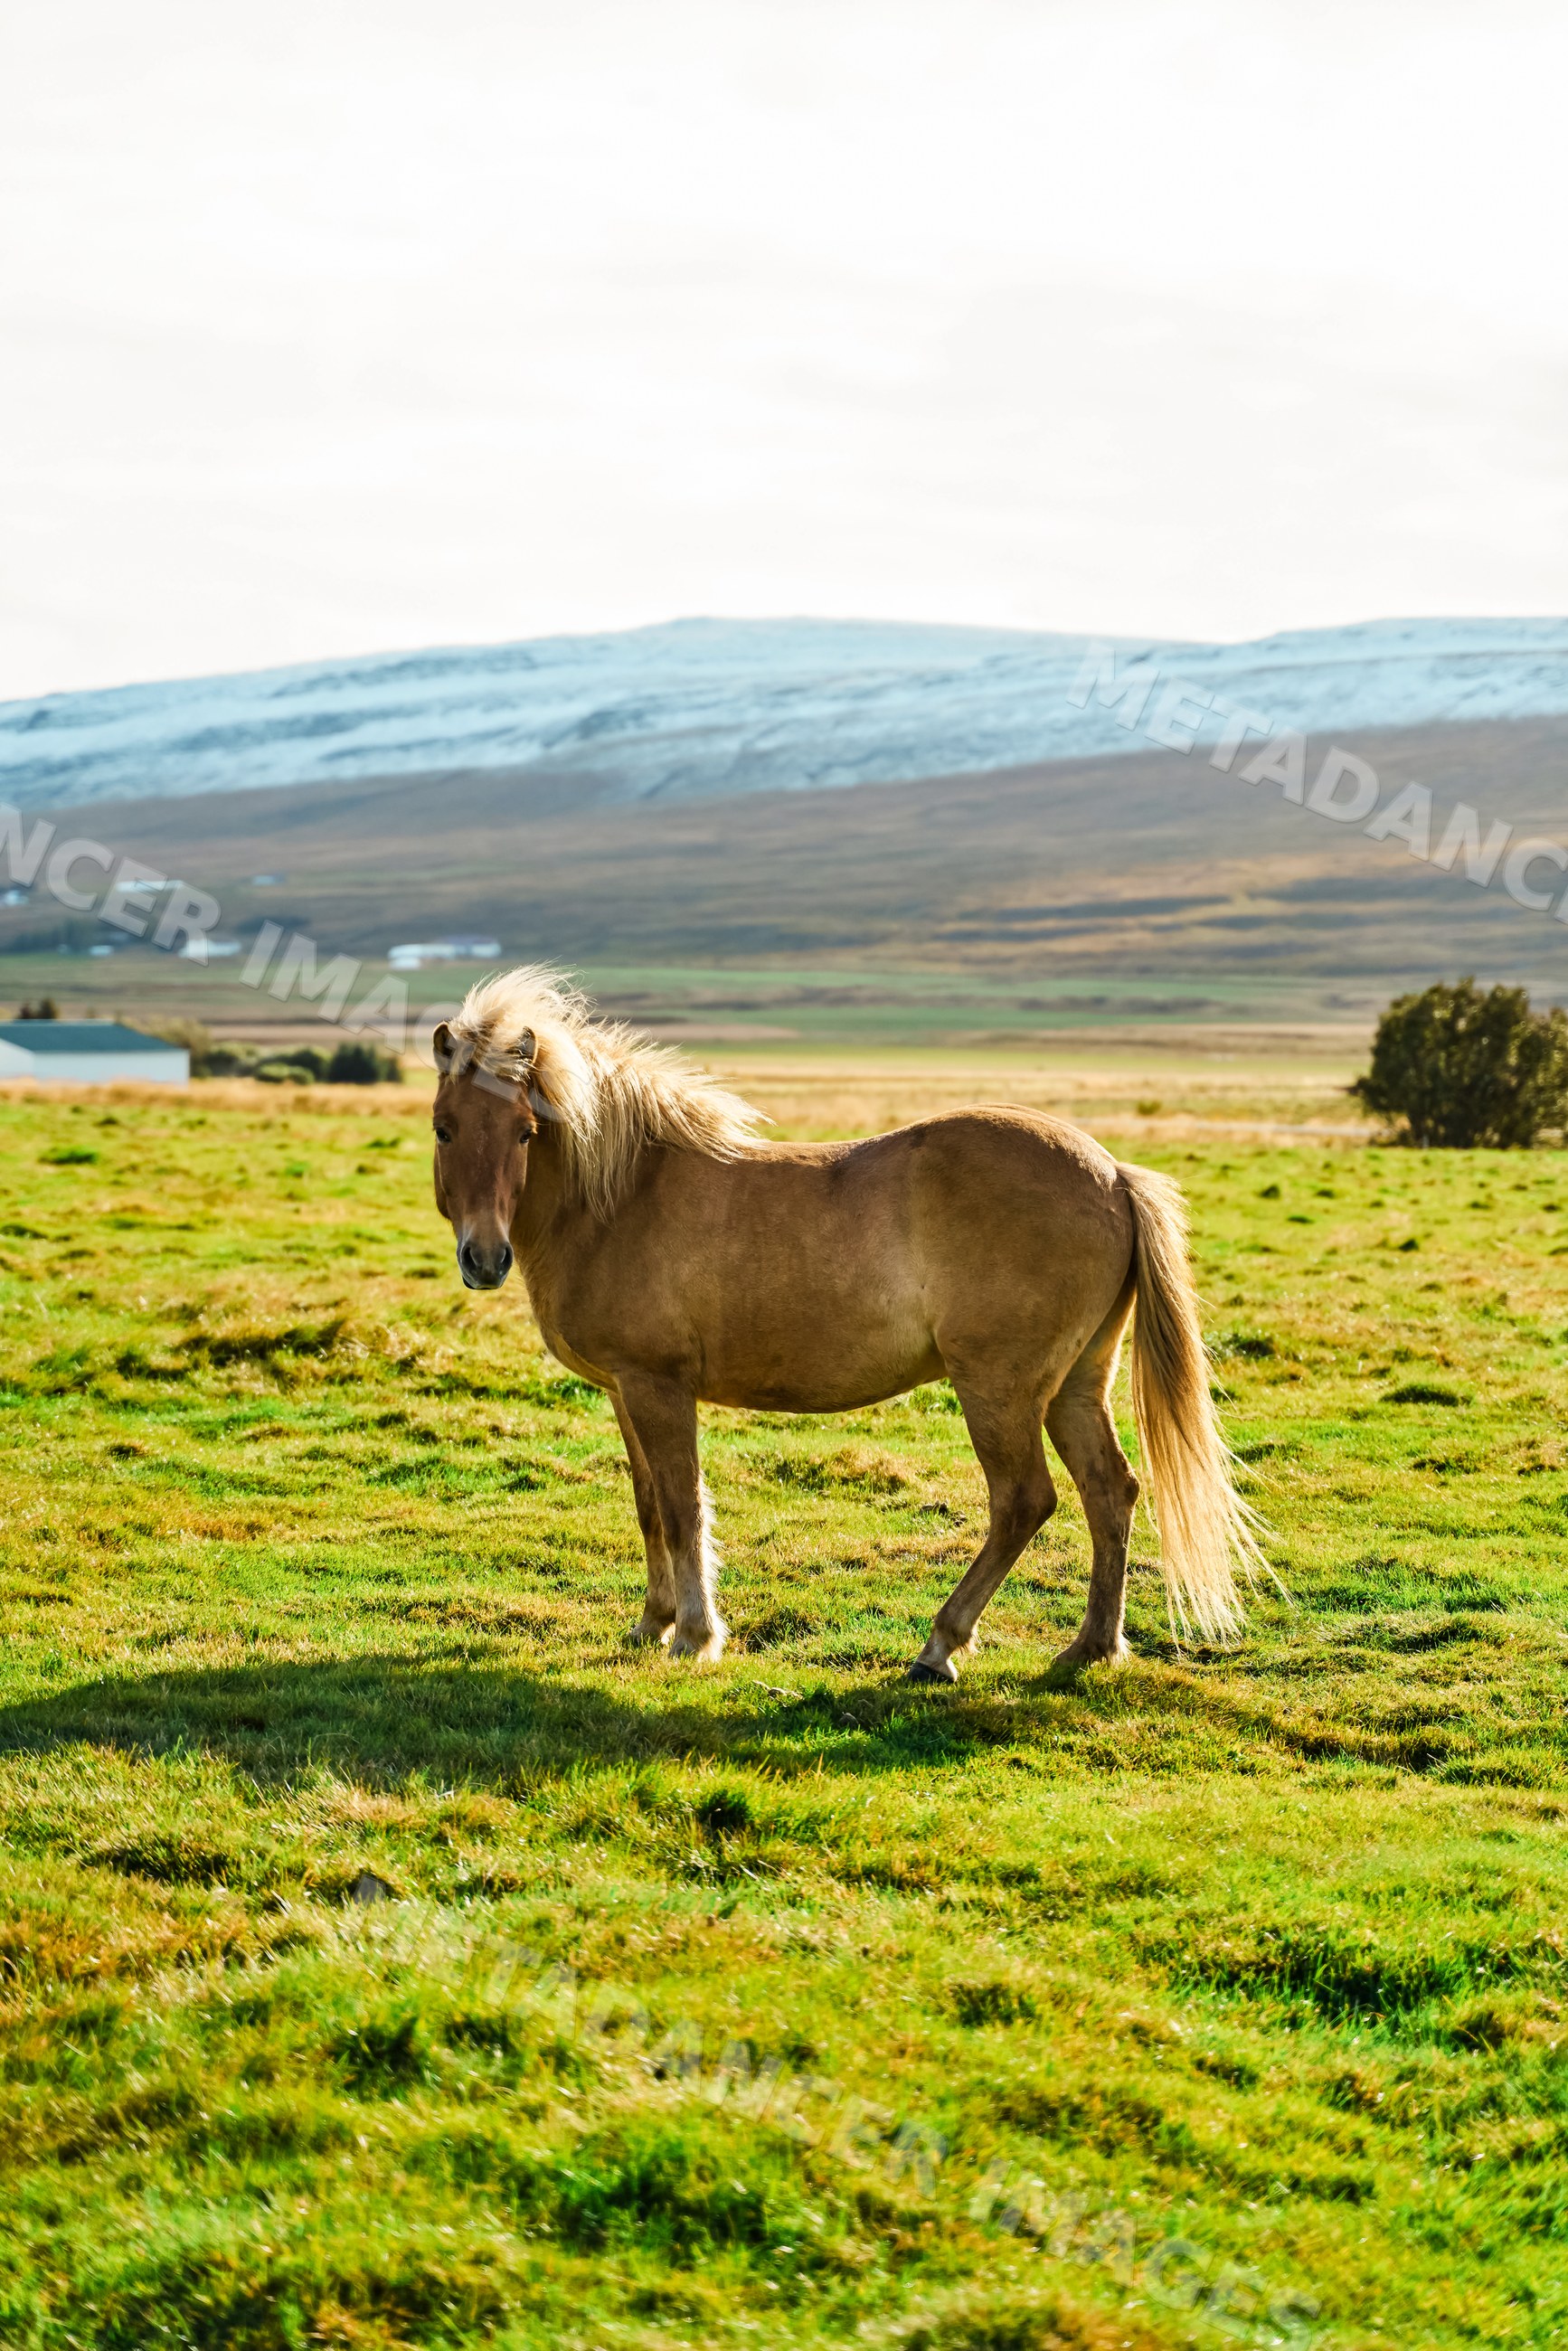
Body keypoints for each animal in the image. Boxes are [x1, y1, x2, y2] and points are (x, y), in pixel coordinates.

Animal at [430, 969, 1259, 1679]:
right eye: (444, 1128)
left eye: (525, 1133)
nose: (484, 1258)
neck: (620, 1197)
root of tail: (1115, 1175)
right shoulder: (624, 1392)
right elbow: (648, 1505)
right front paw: (652, 1624)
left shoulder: (657, 1388)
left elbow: (681, 1504)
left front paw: (694, 1635)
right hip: (1076, 1385)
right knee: (1109, 1491)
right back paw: (1090, 1647)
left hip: (999, 1388)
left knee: (1024, 1500)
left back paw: (940, 1645)